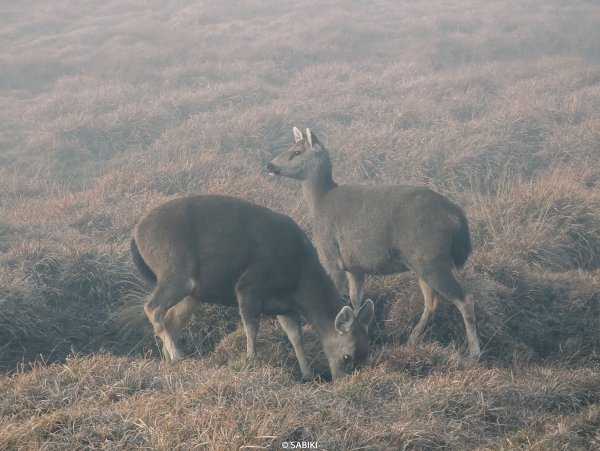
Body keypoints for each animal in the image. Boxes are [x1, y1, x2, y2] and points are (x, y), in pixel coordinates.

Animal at [132, 194, 376, 382]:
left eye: (366, 354)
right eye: (347, 356)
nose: (342, 381)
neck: (298, 281)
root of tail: (135, 235)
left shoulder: (285, 306)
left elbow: (295, 336)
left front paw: (306, 374)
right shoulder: (248, 286)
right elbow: (251, 327)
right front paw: (250, 360)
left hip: (194, 292)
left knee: (172, 318)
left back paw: (168, 360)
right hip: (175, 271)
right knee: (152, 308)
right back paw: (176, 355)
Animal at [264, 129, 480, 358]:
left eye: (296, 151)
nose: (269, 165)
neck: (319, 201)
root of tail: (456, 215)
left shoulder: (331, 255)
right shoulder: (354, 266)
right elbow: (355, 300)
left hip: (430, 258)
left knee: (464, 299)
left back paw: (474, 353)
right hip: (423, 262)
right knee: (432, 301)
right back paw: (411, 340)